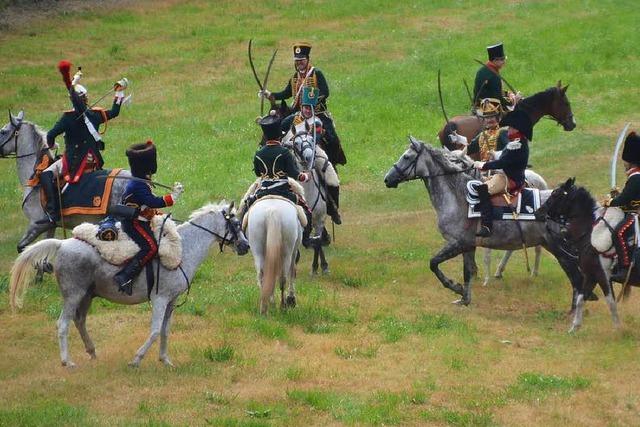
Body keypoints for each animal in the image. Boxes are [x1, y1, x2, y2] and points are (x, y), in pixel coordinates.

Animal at [10, 201, 250, 368]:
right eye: (235, 223)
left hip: (86, 295)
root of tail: (61, 244)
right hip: (73, 295)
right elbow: (155, 331)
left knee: (79, 321)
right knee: (63, 324)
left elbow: (165, 331)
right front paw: (136, 359)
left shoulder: (171, 301)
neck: (183, 249)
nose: (245, 246)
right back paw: (67, 361)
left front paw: (165, 360)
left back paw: (92, 352)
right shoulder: (160, 299)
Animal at [384, 139, 584, 310]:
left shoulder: (458, 243)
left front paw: (455, 287)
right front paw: (464, 298)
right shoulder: (468, 245)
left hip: (559, 248)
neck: (458, 198)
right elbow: (468, 270)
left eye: (407, 157)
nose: (387, 179)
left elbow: (434, 263)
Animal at [536, 179, 620, 332]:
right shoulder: (591, 275)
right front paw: (574, 327)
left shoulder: (602, 275)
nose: (537, 212)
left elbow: (610, 301)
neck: (589, 234)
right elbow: (582, 298)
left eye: (555, 195)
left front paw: (618, 329)